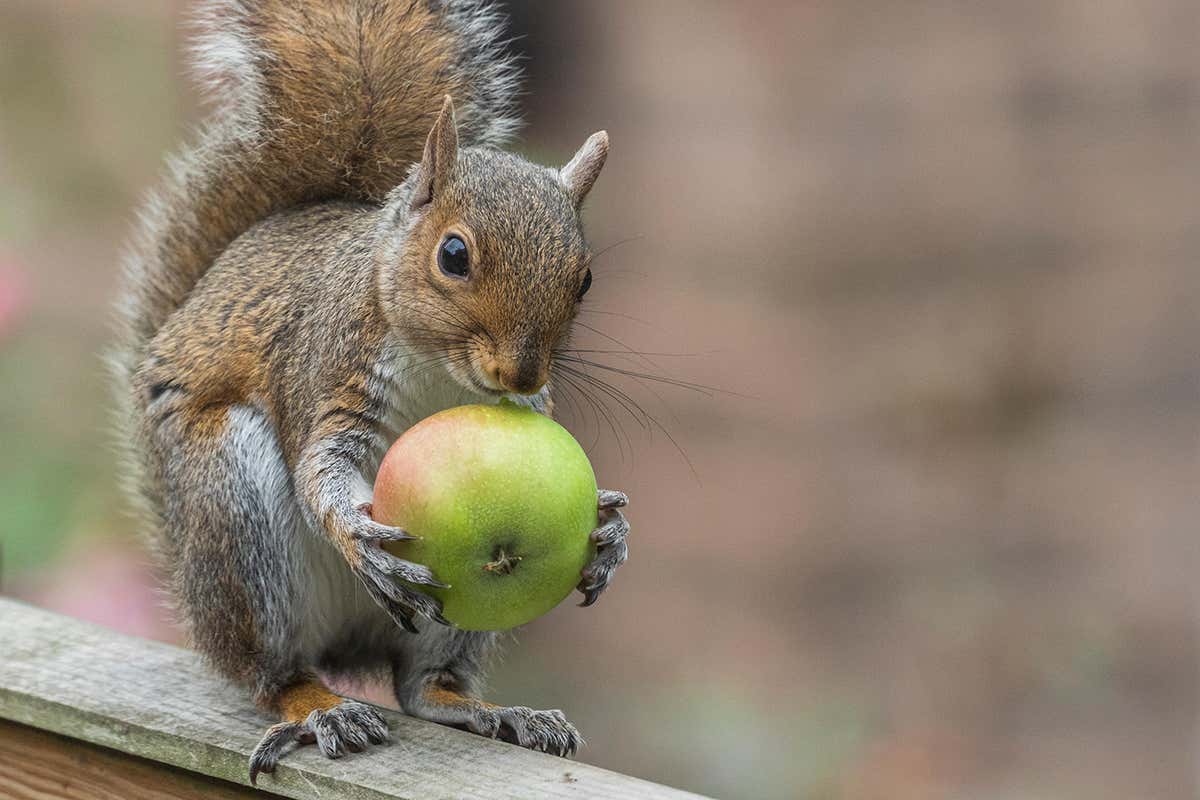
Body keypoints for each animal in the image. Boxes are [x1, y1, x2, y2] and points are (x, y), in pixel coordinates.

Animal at [111, 0, 630, 782]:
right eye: (454, 254)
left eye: (587, 278)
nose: (522, 375)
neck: (439, 369)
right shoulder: (329, 370)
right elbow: (320, 468)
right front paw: (358, 534)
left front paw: (608, 531)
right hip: (231, 510)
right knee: (270, 670)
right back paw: (319, 707)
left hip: (450, 626)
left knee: (421, 687)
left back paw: (489, 710)